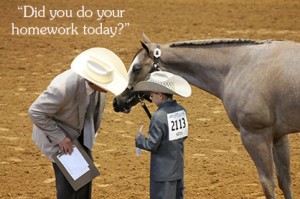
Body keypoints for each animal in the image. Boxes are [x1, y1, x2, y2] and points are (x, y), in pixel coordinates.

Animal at [112, 33, 300, 198]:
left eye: (136, 68)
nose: (117, 101)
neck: (237, 66)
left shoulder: (255, 136)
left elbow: (268, 184)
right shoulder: (279, 136)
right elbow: (284, 181)